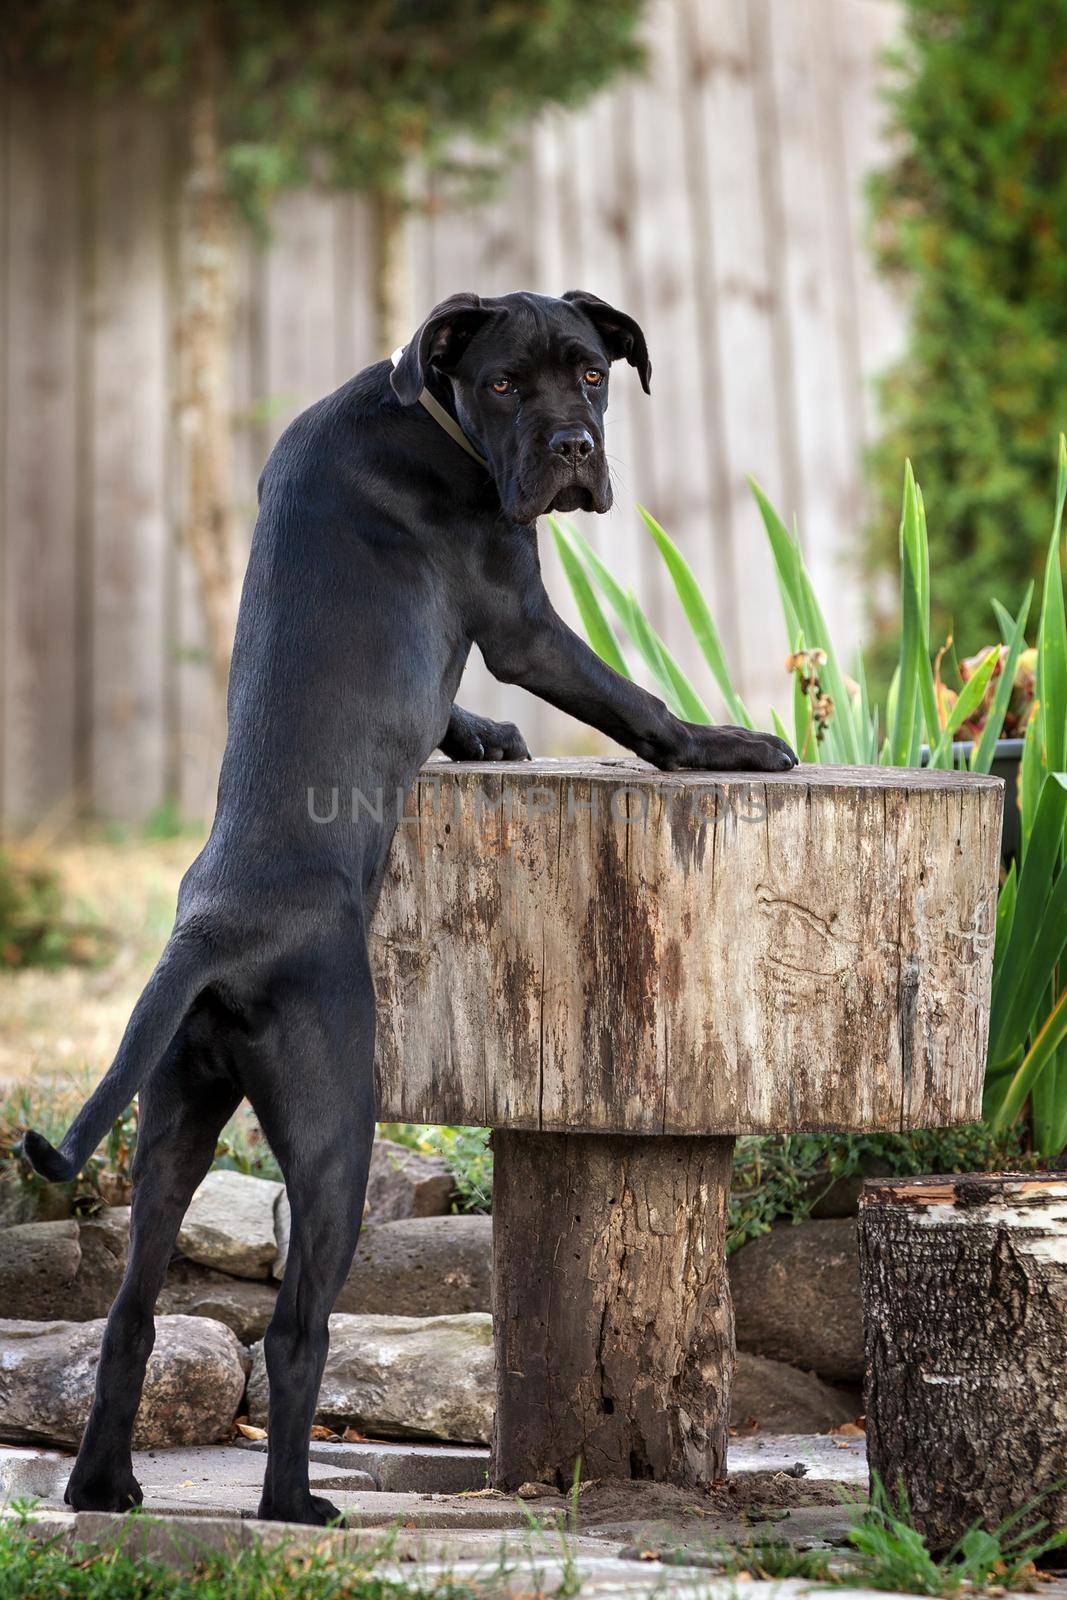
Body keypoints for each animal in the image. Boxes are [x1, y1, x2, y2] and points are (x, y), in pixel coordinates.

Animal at [24, 288, 796, 1523]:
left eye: (589, 372)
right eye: (504, 384)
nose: (574, 449)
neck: (422, 411)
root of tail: (210, 933)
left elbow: (449, 710)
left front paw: (479, 735)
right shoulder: (520, 614)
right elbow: (634, 705)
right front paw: (727, 744)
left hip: (173, 1121)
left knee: (131, 1311)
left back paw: (105, 1488)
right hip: (337, 1129)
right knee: (294, 1328)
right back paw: (293, 1507)